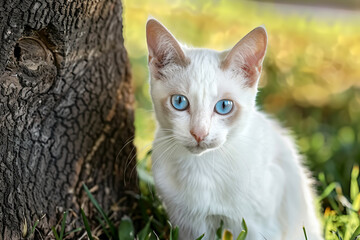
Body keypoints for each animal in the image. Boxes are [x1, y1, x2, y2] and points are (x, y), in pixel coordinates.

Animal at [146, 18, 324, 240]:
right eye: (179, 102)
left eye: (224, 106)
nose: (199, 133)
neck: (203, 167)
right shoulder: (186, 224)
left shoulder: (259, 227)